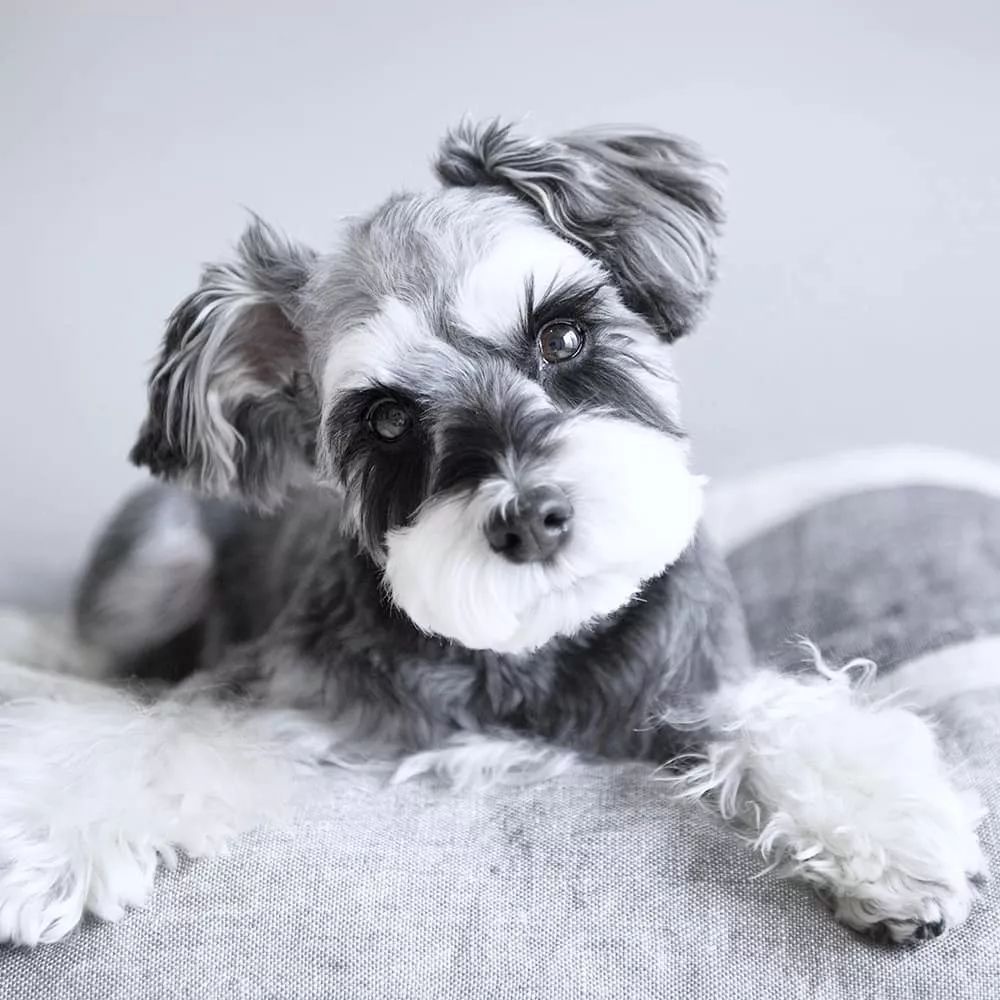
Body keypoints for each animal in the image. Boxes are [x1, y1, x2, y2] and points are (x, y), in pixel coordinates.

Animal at [0, 117, 984, 944]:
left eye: (562, 335)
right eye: (386, 420)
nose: (533, 521)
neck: (532, 652)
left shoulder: (699, 684)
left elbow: (783, 716)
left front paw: (898, 840)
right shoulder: (271, 694)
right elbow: (153, 733)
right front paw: (45, 845)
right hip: (153, 566)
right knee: (91, 651)